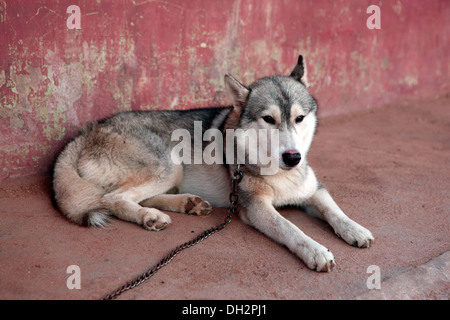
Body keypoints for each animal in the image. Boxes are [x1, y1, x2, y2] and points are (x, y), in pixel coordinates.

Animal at [54, 55, 374, 272]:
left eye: (300, 118)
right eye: (268, 119)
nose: (293, 157)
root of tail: (90, 129)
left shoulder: (313, 190)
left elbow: (335, 211)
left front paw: (355, 230)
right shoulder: (256, 208)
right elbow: (291, 229)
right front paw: (316, 251)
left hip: (170, 173)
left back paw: (186, 204)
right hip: (169, 165)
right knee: (113, 198)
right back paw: (150, 216)